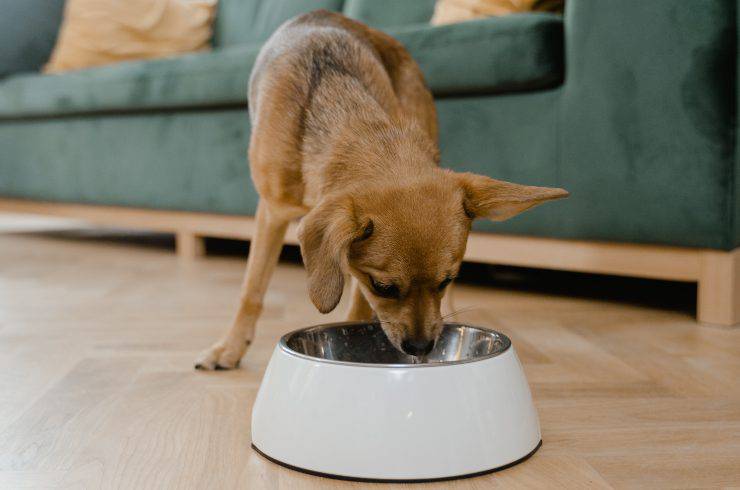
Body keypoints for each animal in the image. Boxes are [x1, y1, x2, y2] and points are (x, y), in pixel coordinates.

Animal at [194, 9, 568, 370]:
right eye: (384, 287)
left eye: (445, 280)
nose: (421, 347)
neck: (349, 120)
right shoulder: (272, 212)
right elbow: (251, 290)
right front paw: (229, 347)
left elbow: (357, 309)